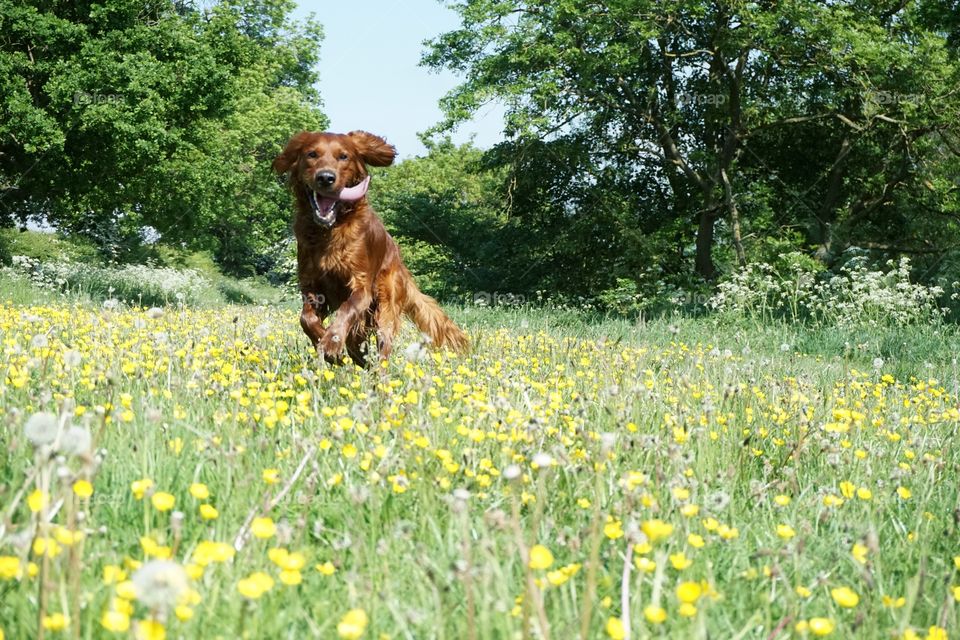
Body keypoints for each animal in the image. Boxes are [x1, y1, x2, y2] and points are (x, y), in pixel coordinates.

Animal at [274, 130, 468, 364]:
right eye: (312, 154)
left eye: (344, 156)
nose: (326, 178)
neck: (329, 229)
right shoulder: (312, 287)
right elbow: (306, 319)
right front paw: (325, 343)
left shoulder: (361, 286)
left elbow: (347, 308)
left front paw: (331, 341)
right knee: (357, 348)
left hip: (385, 305)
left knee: (383, 350)